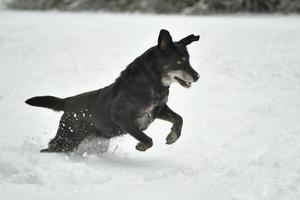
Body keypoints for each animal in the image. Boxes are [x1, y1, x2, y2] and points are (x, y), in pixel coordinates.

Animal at [25, 28, 199, 152]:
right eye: (179, 61)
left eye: (189, 60)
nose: (197, 76)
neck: (150, 82)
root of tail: (69, 101)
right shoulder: (122, 117)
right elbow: (147, 138)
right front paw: (142, 146)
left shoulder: (159, 109)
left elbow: (179, 118)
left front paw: (172, 137)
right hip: (68, 138)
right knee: (50, 147)